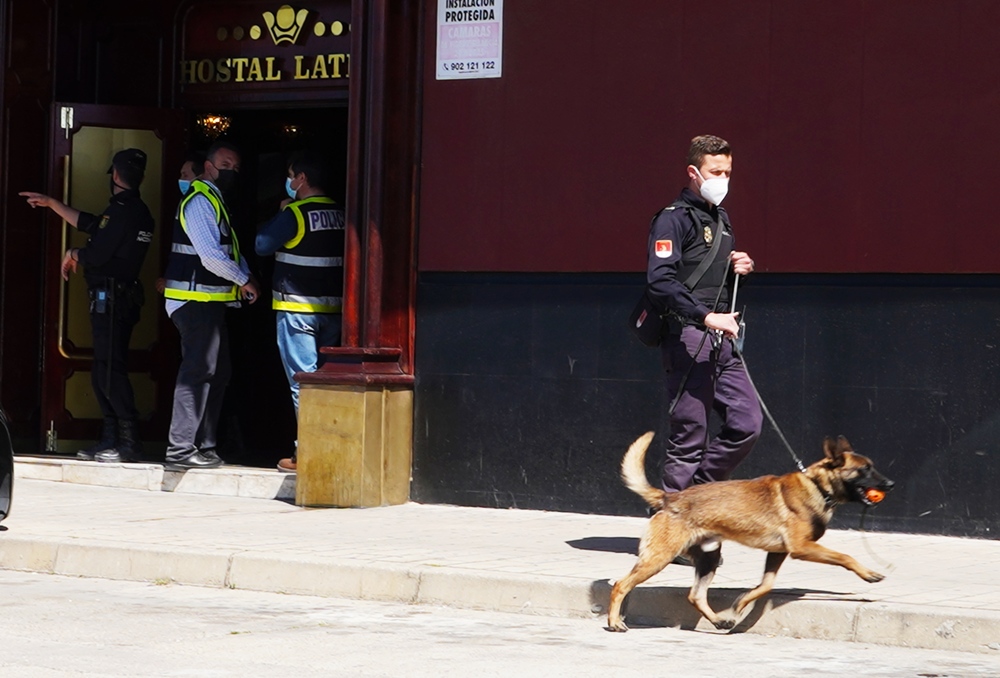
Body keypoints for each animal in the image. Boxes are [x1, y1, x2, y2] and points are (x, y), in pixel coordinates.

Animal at [21, 149, 154, 464]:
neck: (128, 197)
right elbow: (89, 221)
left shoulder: (113, 223)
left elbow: (97, 248)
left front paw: (72, 255)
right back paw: (105, 445)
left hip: (108, 338)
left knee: (110, 377)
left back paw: (126, 449)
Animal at [604, 432, 896, 636]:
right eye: (865, 469)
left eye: (872, 467)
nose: (891, 484)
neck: (817, 485)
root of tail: (668, 498)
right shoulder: (801, 548)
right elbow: (845, 556)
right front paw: (868, 573)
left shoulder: (777, 553)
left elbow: (765, 585)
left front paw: (740, 604)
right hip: (659, 558)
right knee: (621, 585)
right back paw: (615, 622)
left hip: (709, 558)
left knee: (695, 595)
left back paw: (719, 620)